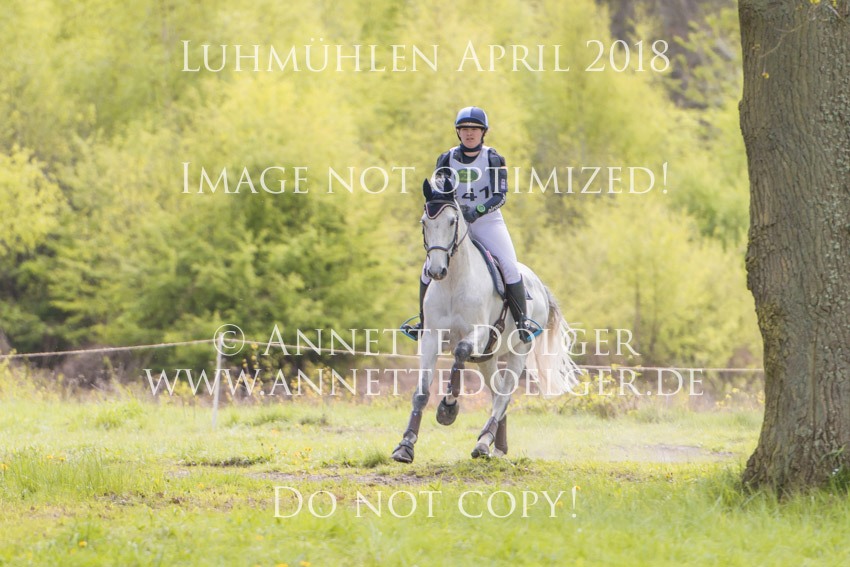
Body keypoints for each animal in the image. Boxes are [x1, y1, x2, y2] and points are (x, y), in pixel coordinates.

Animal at [391, 192, 580, 463]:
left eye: (452, 221)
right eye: (424, 222)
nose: (436, 271)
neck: (453, 281)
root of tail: (539, 285)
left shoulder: (477, 334)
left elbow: (460, 352)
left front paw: (448, 409)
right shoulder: (431, 338)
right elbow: (421, 392)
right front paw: (406, 445)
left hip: (518, 351)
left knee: (504, 395)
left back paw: (483, 443)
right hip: (486, 358)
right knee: (497, 390)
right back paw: (497, 446)